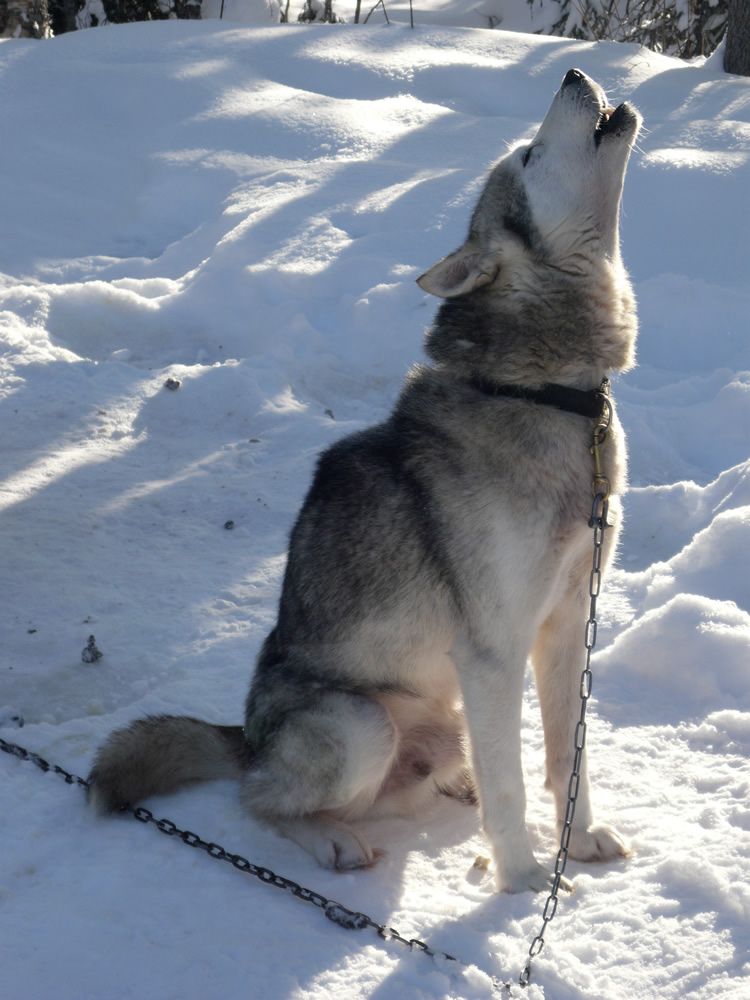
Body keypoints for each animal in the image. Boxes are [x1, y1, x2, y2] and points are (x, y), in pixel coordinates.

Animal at [88, 72, 640, 900]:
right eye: (530, 154)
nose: (574, 77)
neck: (545, 392)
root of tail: (248, 737)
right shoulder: (493, 652)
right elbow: (514, 788)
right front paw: (518, 884)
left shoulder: (569, 623)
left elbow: (562, 759)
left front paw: (576, 840)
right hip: (364, 726)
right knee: (259, 800)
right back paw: (333, 841)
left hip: (439, 719)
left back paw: (451, 784)